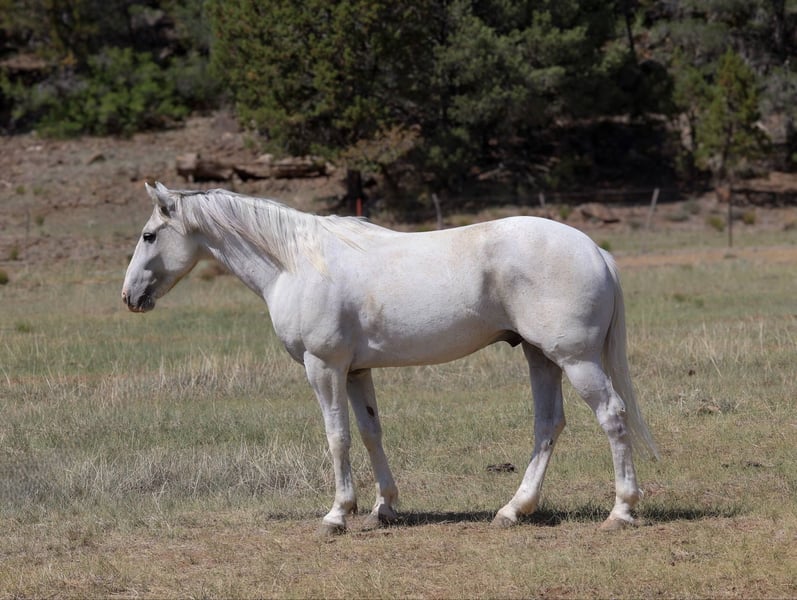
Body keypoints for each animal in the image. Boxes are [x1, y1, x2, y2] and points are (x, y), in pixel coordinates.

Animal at [122, 182, 659, 535]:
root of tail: (595, 250)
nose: (129, 297)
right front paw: (384, 508)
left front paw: (338, 514)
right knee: (548, 425)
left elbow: (337, 437)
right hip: (540, 357)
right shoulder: (356, 371)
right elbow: (369, 432)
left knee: (612, 417)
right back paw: (513, 509)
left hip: (577, 360)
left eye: (149, 236)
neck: (296, 262)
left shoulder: (324, 367)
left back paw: (621, 511)